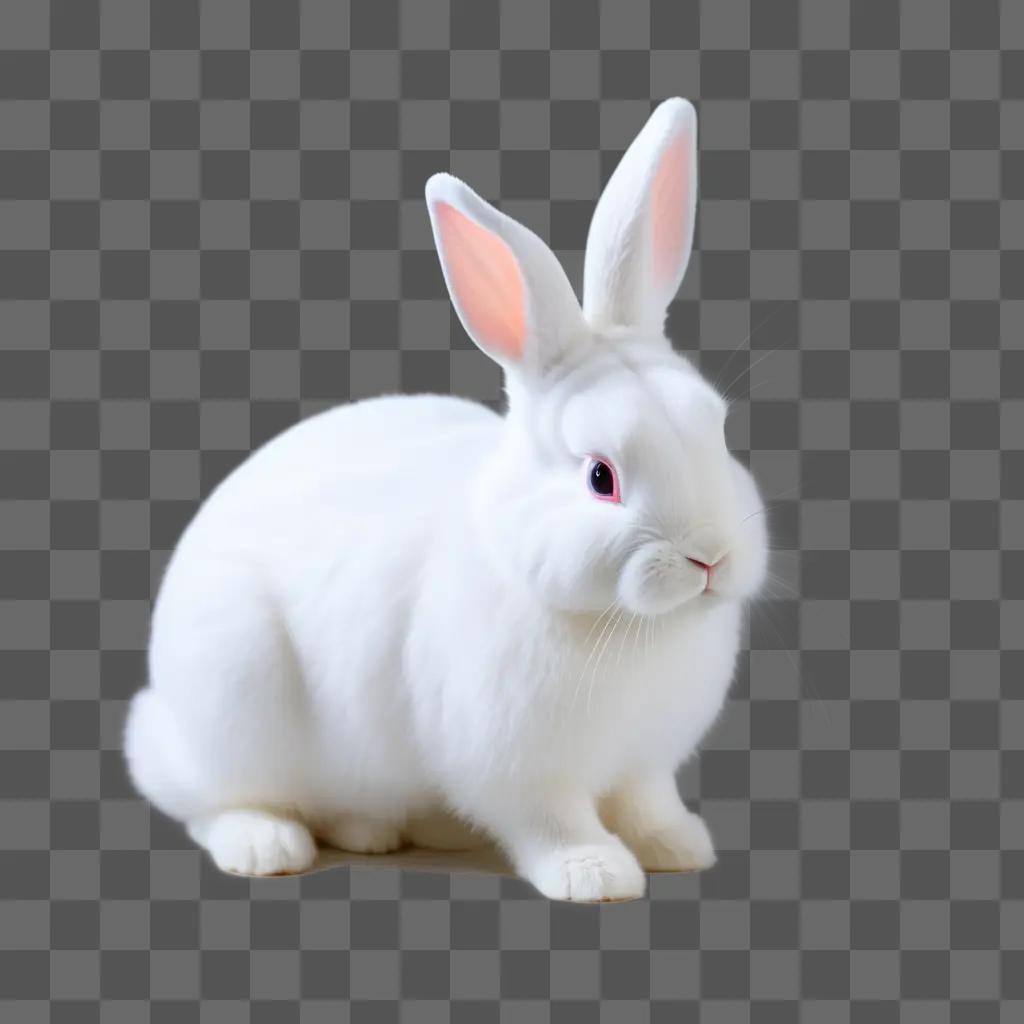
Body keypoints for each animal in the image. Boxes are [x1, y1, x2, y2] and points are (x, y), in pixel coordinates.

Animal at [123, 99, 770, 901]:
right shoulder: (518, 767)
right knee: (210, 796)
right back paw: (267, 844)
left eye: (718, 429)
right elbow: (553, 821)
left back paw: (384, 831)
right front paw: (595, 873)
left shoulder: (644, 761)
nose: (710, 557)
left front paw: (678, 847)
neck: (624, 626)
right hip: (231, 695)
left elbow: (647, 803)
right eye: (601, 477)